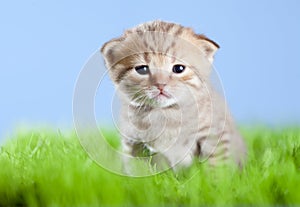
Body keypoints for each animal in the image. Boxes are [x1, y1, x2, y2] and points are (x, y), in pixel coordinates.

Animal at [101, 20, 246, 171]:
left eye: (179, 68)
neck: (164, 113)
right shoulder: (132, 142)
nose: (161, 84)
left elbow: (215, 167)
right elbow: (135, 169)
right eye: (142, 69)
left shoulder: (215, 135)